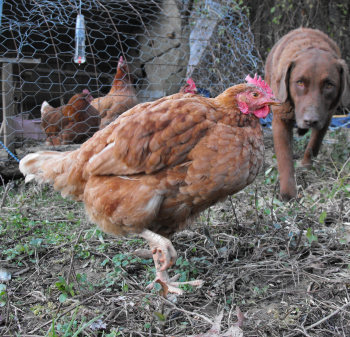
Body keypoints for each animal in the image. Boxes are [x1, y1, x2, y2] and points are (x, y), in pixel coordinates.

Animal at [266, 28, 350, 200]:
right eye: (299, 82)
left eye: (329, 85)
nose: (311, 120)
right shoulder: (280, 119)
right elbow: (285, 158)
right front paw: (288, 193)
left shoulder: (327, 116)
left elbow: (314, 143)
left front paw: (306, 164)